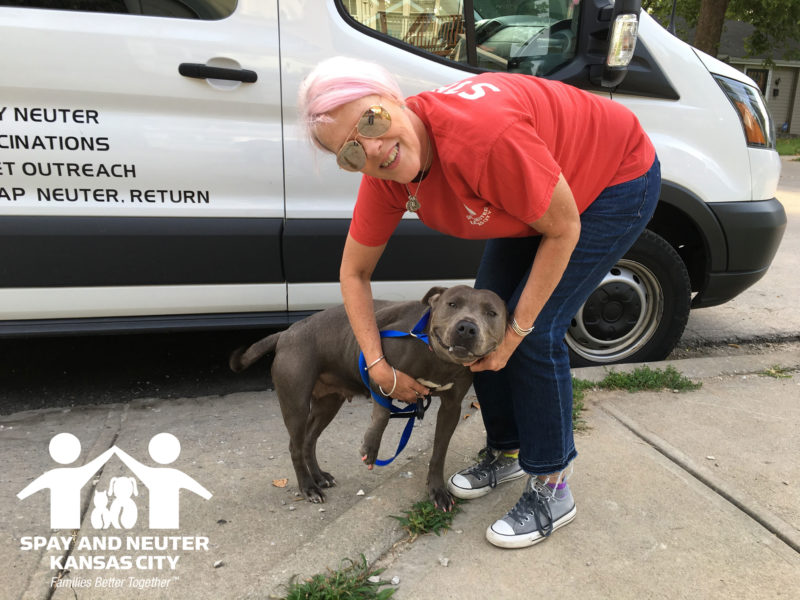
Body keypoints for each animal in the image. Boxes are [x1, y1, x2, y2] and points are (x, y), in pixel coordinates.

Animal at [231, 284, 506, 506]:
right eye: (452, 304)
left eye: (491, 313)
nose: (466, 327)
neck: (435, 355)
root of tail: (286, 333)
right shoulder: (378, 372)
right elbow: (382, 413)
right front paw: (371, 448)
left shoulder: (451, 407)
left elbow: (439, 452)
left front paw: (437, 490)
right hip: (295, 404)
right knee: (295, 446)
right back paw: (308, 487)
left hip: (327, 404)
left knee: (309, 440)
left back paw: (319, 477)